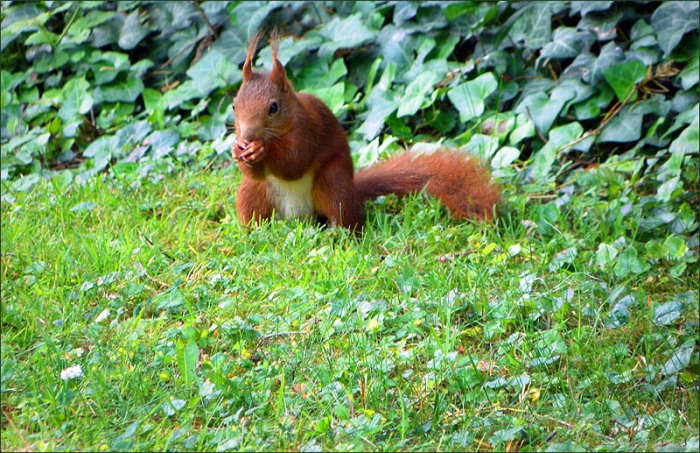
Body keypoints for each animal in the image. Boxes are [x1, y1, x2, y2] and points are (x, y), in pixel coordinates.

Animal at [232, 32, 501, 231]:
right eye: (234, 105)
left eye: (274, 107)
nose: (247, 136)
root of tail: (300, 215)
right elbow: (259, 172)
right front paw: (238, 150)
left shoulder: (308, 129)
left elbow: (294, 161)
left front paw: (262, 149)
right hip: (253, 193)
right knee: (255, 206)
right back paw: (253, 233)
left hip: (333, 183)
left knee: (343, 215)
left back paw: (338, 234)